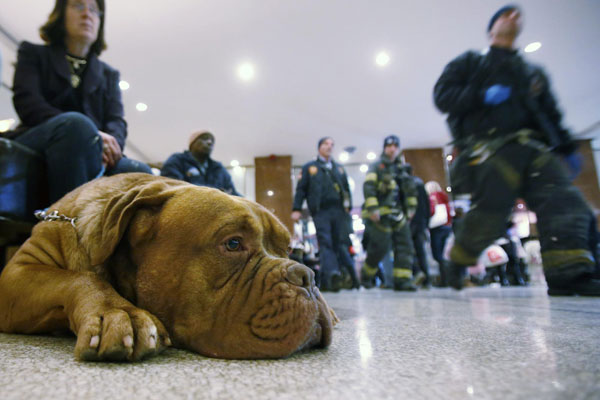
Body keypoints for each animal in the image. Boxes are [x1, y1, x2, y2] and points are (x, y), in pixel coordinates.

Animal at [0, 173, 338, 360]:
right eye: (233, 244)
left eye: (287, 249)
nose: (306, 275)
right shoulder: (16, 275)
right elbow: (78, 278)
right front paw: (118, 312)